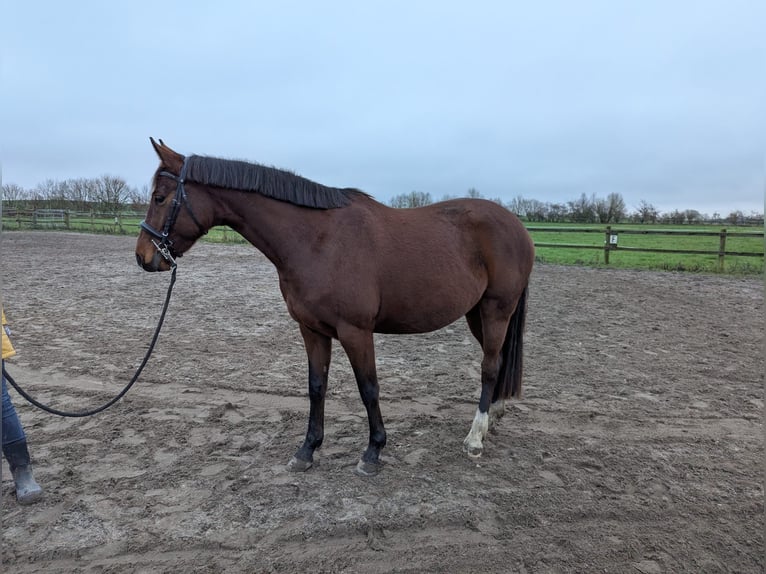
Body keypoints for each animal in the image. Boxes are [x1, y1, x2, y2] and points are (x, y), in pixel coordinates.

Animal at [136, 140, 536, 476]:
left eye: (160, 197)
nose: (143, 257)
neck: (315, 240)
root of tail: (516, 225)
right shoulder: (312, 329)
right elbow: (317, 385)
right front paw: (307, 450)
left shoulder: (356, 331)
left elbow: (368, 387)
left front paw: (373, 453)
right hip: (476, 313)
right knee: (498, 361)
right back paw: (493, 416)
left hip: (496, 310)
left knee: (488, 367)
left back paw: (475, 437)